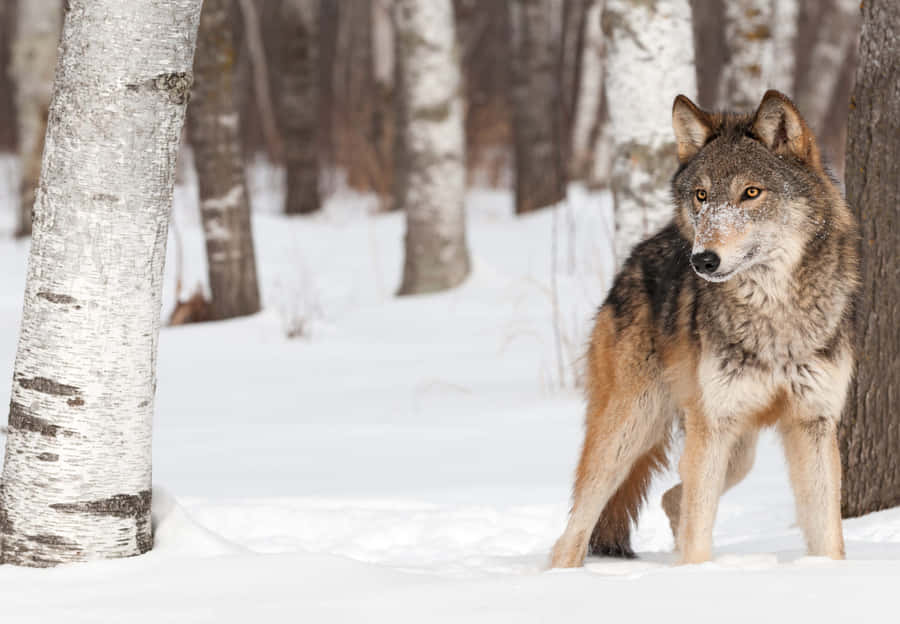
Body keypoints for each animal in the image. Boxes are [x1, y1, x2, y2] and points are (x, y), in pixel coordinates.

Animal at [550, 90, 859, 567]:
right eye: (701, 196)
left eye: (751, 193)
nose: (703, 260)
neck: (774, 316)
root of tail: (636, 255)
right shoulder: (713, 425)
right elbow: (699, 537)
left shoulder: (813, 423)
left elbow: (828, 537)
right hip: (633, 429)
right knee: (574, 530)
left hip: (735, 450)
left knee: (672, 496)